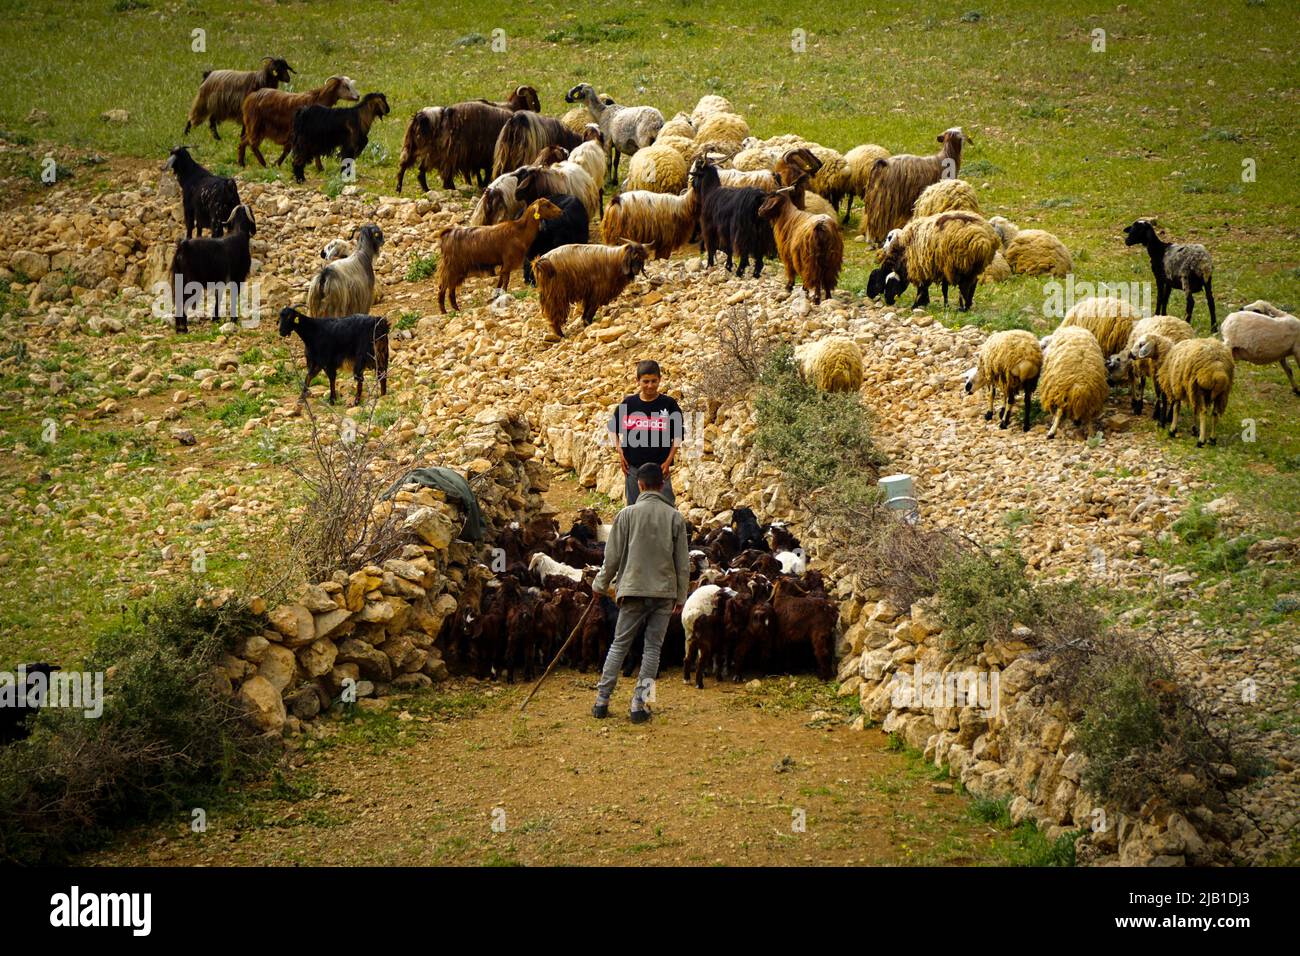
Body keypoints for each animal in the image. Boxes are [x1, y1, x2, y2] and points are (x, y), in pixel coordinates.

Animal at [167, 204, 256, 335]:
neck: (239, 234)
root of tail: (183, 247)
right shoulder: (238, 277)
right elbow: (234, 296)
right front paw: (233, 319)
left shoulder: (220, 281)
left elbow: (218, 296)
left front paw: (216, 318)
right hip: (189, 282)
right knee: (183, 301)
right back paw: (183, 329)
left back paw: (180, 329)